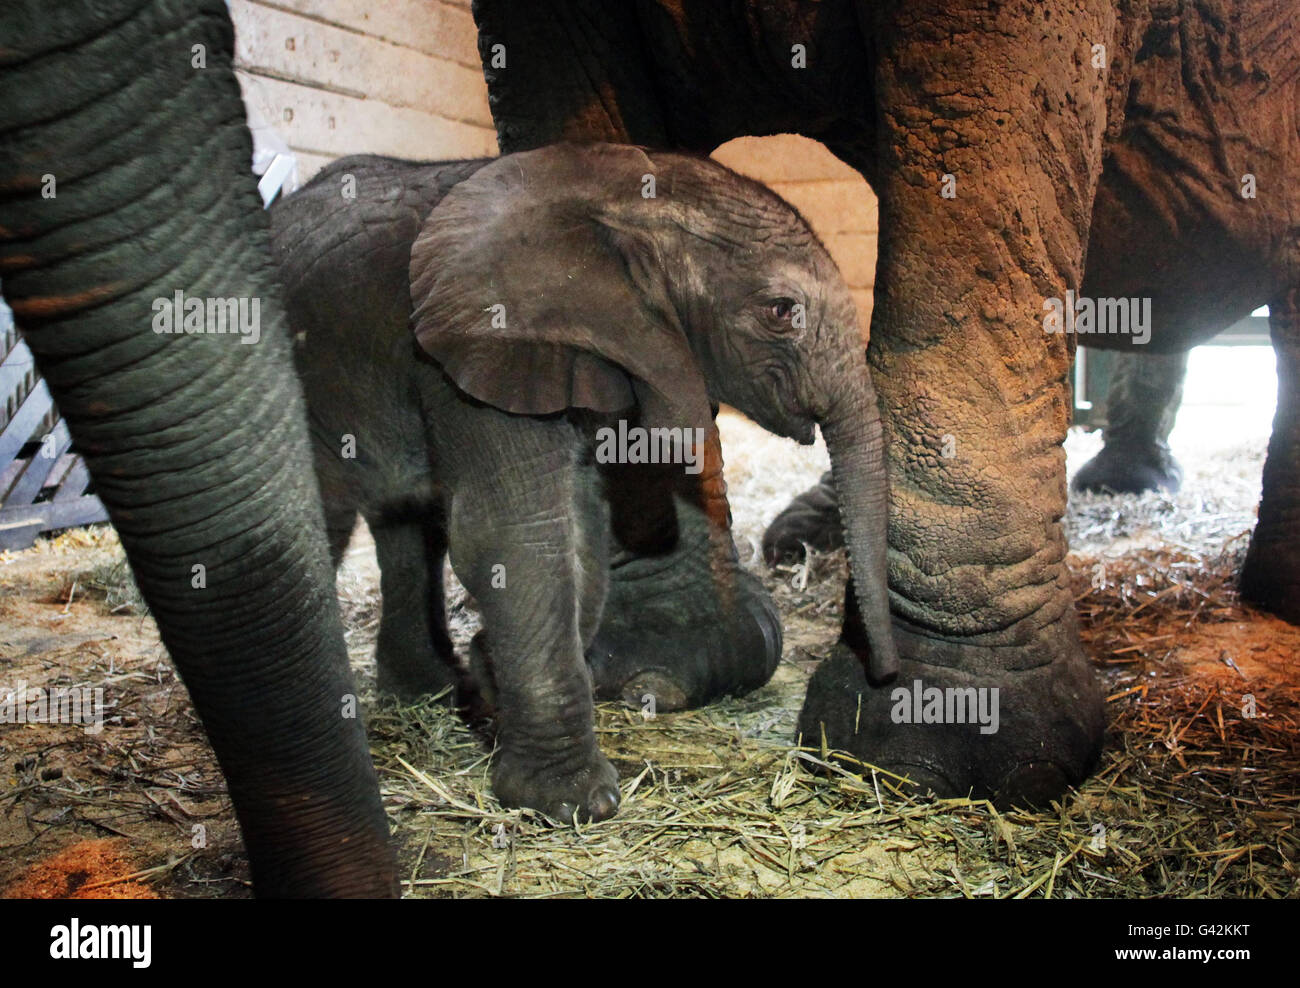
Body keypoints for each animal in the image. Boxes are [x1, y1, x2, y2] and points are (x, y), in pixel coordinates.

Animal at [270, 144, 899, 823]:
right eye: (780, 311)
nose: (884, 677)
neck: (615, 195)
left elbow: (579, 527)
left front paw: (489, 681)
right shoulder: (473, 349)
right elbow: (514, 533)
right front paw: (571, 803)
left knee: (406, 527)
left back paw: (426, 692)